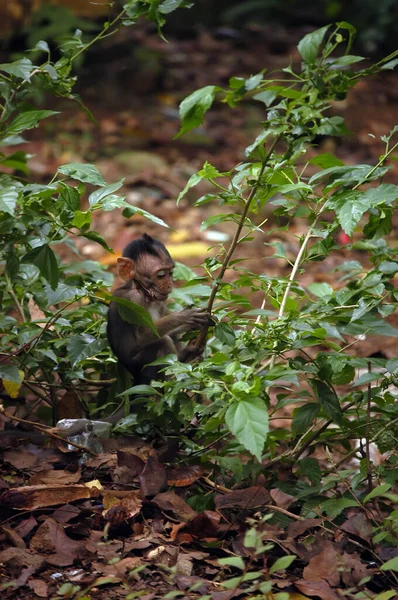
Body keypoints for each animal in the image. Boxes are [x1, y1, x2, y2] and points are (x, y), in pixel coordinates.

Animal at [107, 234, 210, 384]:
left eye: (171, 273)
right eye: (161, 275)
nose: (170, 285)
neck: (143, 293)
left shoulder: (160, 301)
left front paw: (198, 323)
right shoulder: (132, 301)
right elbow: (140, 337)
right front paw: (185, 316)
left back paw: (188, 353)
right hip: (144, 369)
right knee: (162, 341)